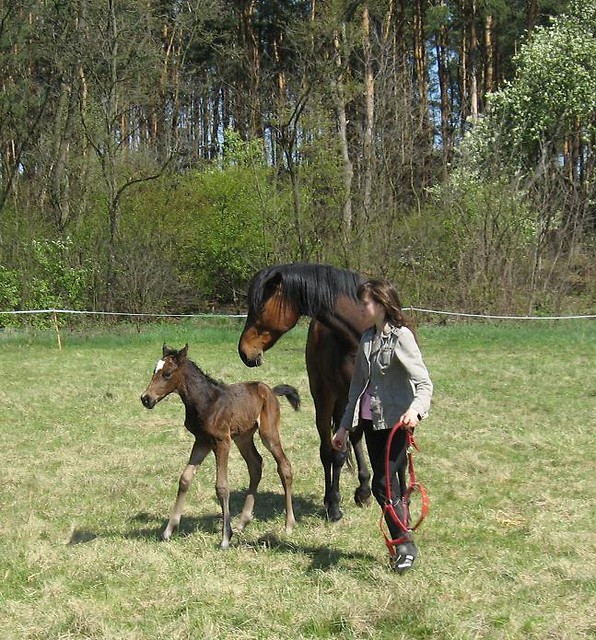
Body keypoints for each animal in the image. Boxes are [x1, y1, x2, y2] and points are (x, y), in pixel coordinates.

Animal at [239, 262, 372, 524]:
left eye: (261, 307)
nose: (243, 352)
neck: (359, 330)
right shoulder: (343, 396)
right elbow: (337, 452)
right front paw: (334, 505)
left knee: (354, 436)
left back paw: (363, 490)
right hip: (325, 396)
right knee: (329, 448)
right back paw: (334, 498)